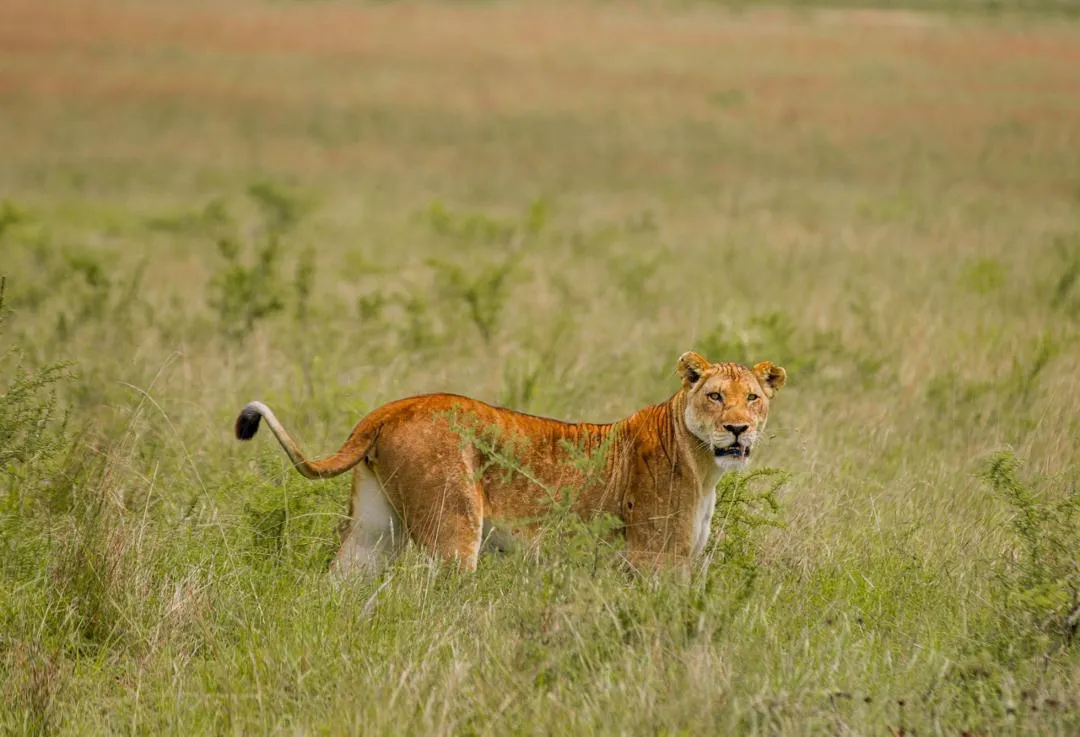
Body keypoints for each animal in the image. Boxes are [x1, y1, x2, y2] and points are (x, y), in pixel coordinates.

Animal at [234, 351, 785, 575]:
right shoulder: (655, 558)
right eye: (715, 396)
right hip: (452, 526)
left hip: (373, 530)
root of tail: (390, 407)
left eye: (753, 398)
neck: (704, 464)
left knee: (344, 578)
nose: (738, 429)